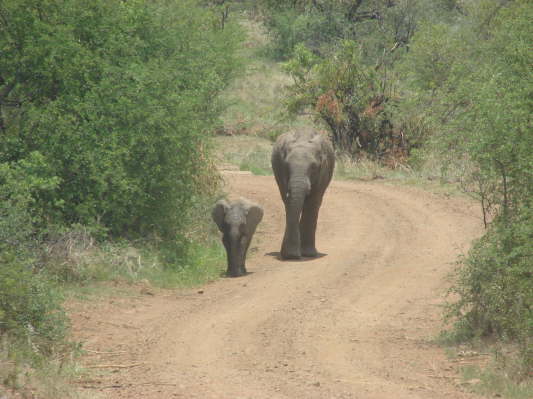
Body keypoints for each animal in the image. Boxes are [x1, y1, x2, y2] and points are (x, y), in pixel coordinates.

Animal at [270, 128, 332, 260]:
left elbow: (312, 202)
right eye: (286, 166)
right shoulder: (281, 172)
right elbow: (289, 203)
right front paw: (291, 255)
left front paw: (307, 254)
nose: (291, 256)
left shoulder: (323, 173)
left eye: (313, 167)